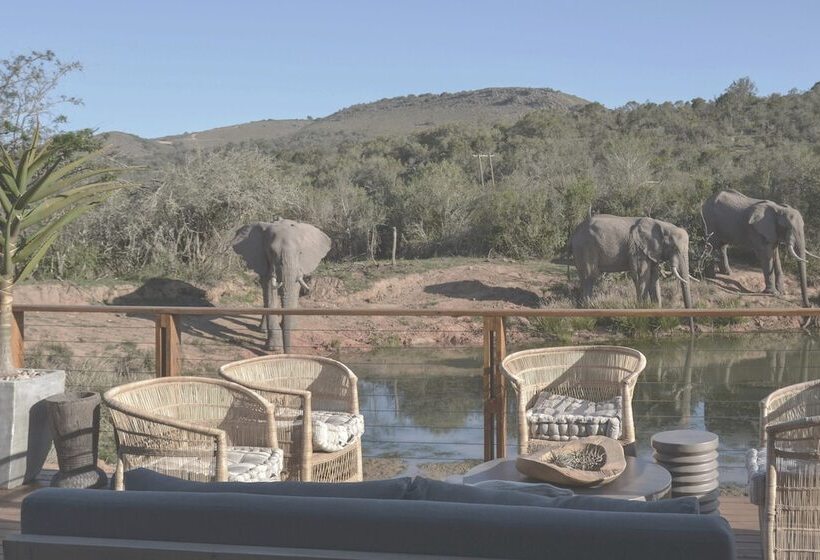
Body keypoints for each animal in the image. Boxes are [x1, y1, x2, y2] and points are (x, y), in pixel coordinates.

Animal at [232, 219, 331, 352]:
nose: (287, 354)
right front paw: (273, 348)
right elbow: (269, 291)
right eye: (271, 252)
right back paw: (263, 329)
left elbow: (292, 289)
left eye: (300, 252)